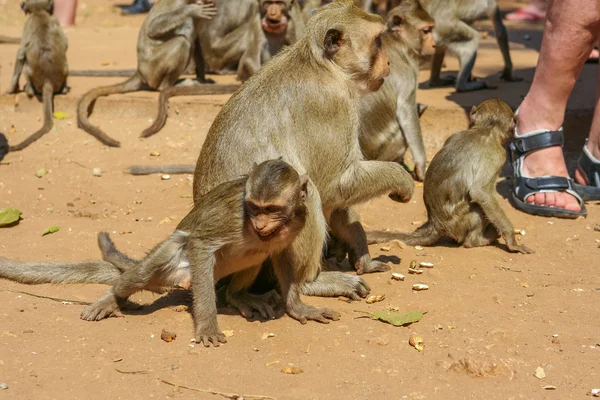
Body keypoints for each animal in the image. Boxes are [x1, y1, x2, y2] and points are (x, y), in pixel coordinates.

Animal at [6, 0, 69, 152]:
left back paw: (28, 89)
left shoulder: (27, 23)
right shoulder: (55, 19)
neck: (39, 12)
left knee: (25, 66)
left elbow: (20, 54)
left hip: (32, 78)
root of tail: (48, 81)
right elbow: (66, 44)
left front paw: (12, 89)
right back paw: (64, 89)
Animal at [77, 0, 239, 147]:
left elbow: (197, 42)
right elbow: (153, 28)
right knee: (181, 41)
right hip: (154, 70)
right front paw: (190, 10)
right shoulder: (178, 4)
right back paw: (168, 86)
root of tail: (140, 72)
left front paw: (202, 80)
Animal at [192, 1, 412, 318]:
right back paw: (311, 282)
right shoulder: (332, 103)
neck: (324, 66)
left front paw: (360, 249)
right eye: (379, 41)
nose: (389, 63)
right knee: (309, 194)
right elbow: (333, 186)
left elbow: (338, 198)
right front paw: (402, 178)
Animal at [370, 98, 536, 255]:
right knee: (477, 205)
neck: (486, 130)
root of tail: (436, 224)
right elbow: (480, 193)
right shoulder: (499, 154)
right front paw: (512, 242)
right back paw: (477, 240)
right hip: (460, 222)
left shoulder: (454, 134)